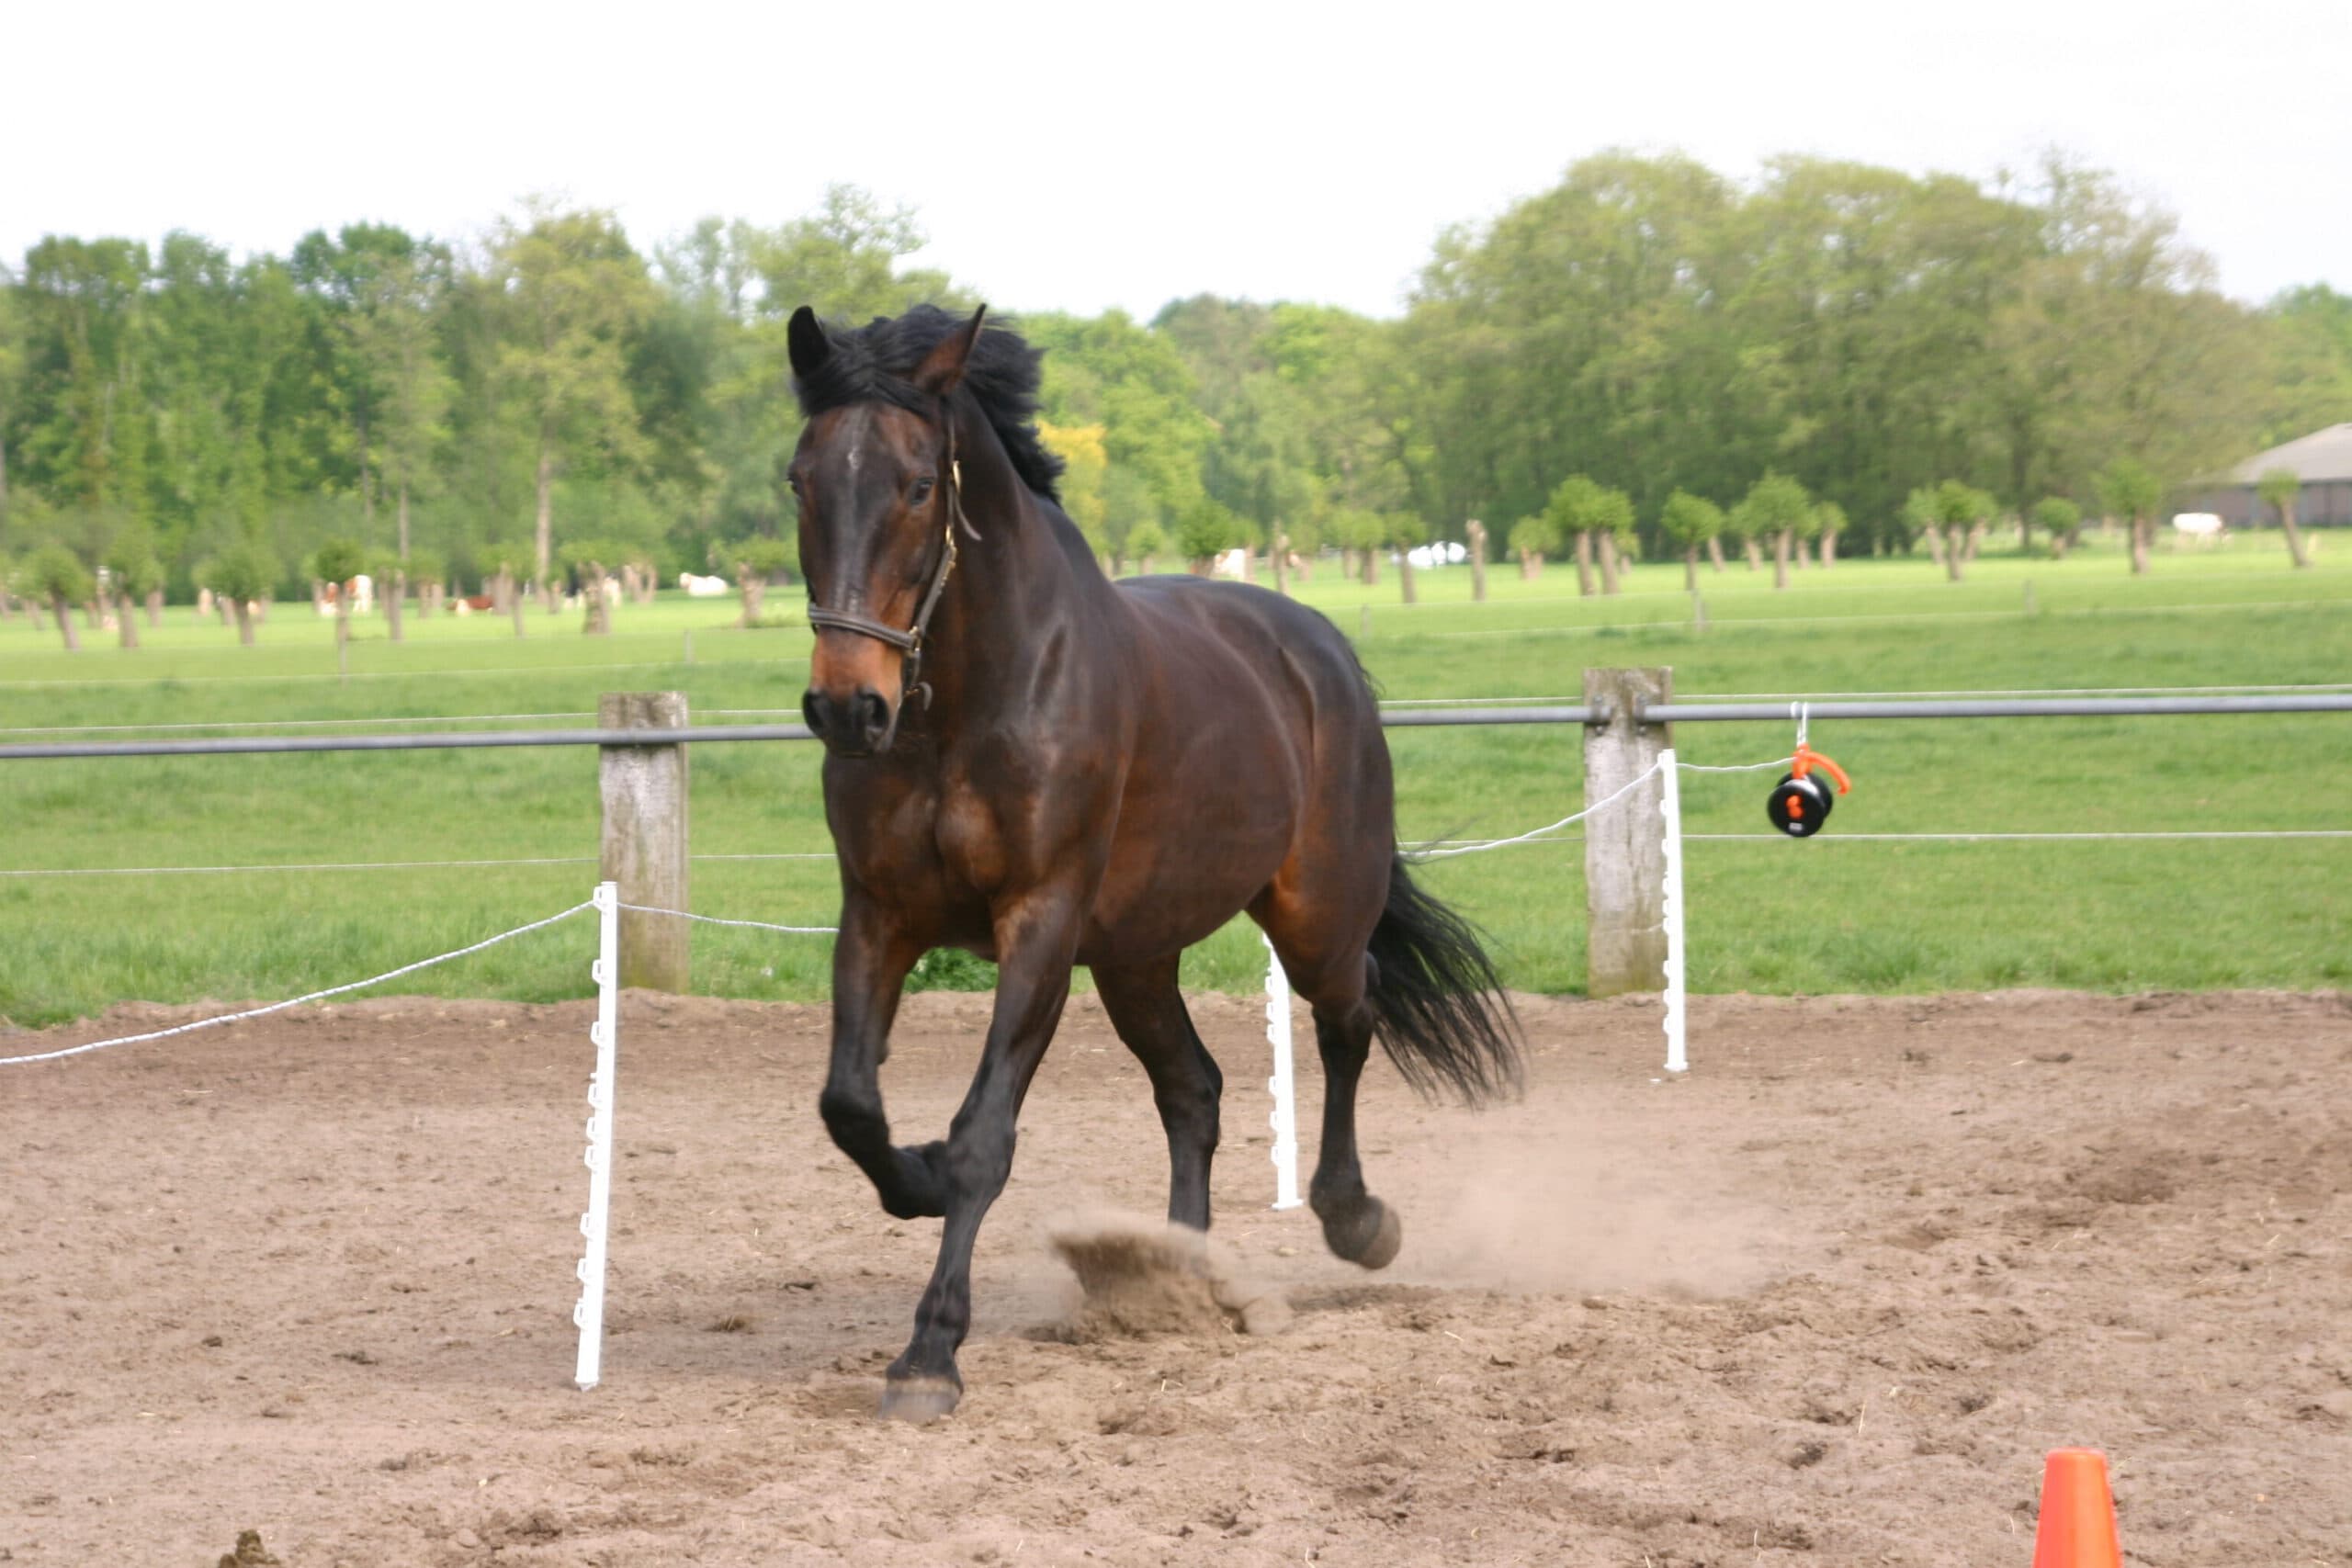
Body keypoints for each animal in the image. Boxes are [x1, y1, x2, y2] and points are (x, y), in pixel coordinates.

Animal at [788, 303, 1522, 1422]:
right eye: (801, 480)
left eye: (917, 486)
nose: (846, 706)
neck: (972, 697)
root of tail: (1320, 647)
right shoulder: (880, 914)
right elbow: (851, 1107)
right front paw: (912, 1176)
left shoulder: (1039, 922)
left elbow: (983, 1137)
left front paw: (929, 1354)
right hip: (1135, 957)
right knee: (1195, 1089)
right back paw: (1186, 1275)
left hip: (1313, 916)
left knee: (1347, 1020)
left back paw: (1354, 1219)